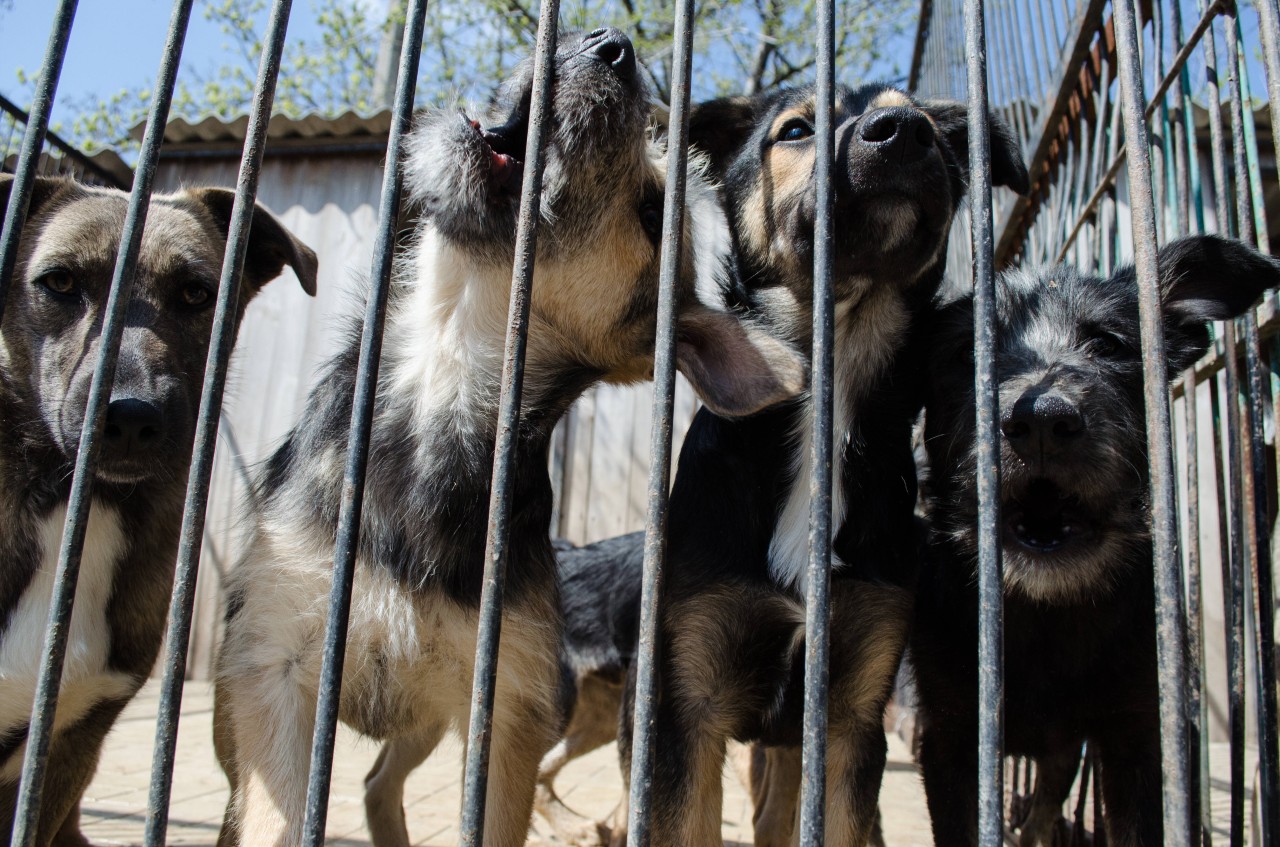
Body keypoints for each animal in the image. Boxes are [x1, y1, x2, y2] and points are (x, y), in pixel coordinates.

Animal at [213, 28, 803, 847]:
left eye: (653, 212)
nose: (612, 44)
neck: (445, 392)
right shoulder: (277, 672)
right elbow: (274, 820)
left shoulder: (506, 713)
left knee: (377, 783)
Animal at [911, 234, 1280, 847]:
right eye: (966, 355)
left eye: (1108, 344)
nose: (1041, 421)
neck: (1046, 617)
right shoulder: (950, 738)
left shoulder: (1144, 736)